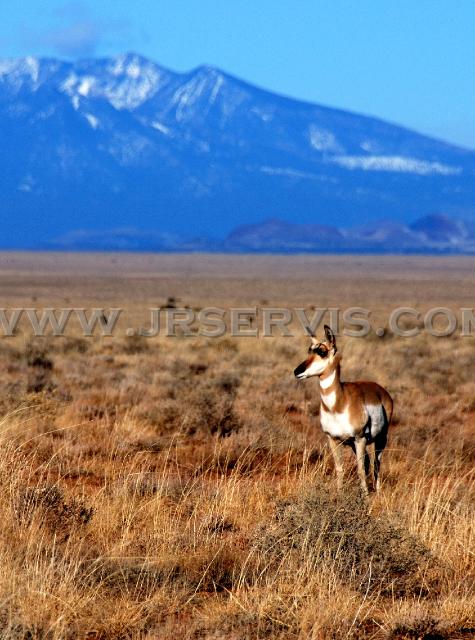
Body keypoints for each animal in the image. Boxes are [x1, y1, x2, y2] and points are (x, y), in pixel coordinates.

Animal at [294, 324, 394, 496]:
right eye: (309, 350)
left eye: (322, 351)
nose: (297, 371)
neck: (338, 405)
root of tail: (379, 390)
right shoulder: (333, 440)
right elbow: (340, 469)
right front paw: (339, 494)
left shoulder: (360, 438)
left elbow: (360, 470)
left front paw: (365, 498)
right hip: (355, 444)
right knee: (368, 463)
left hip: (380, 439)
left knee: (376, 465)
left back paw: (377, 492)